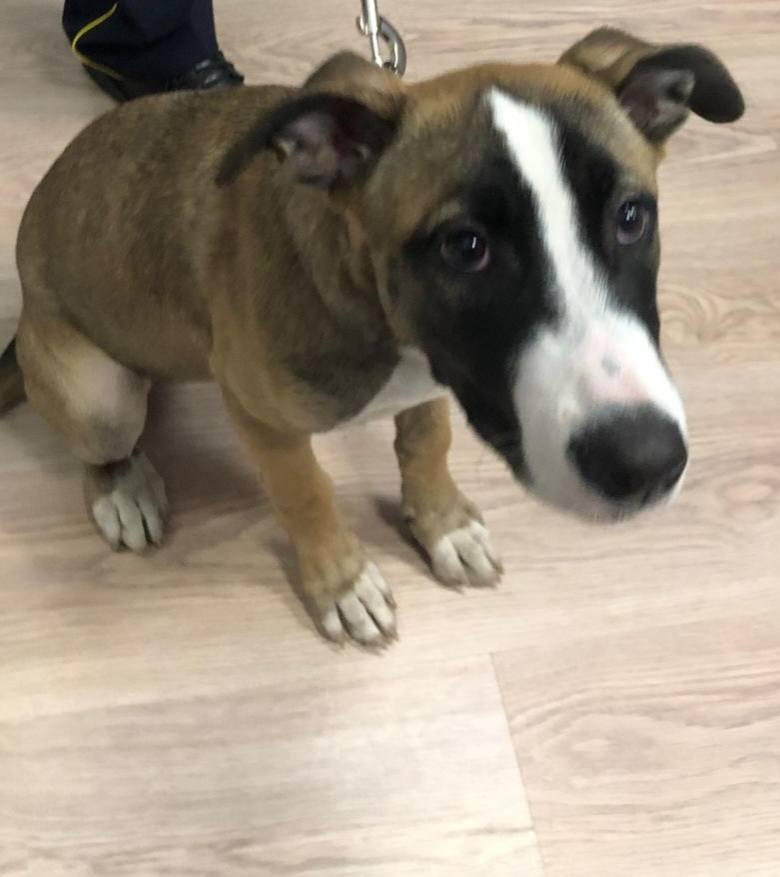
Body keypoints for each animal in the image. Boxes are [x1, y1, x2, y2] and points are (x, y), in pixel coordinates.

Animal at [0, 28, 744, 645]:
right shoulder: (261, 417)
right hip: (99, 396)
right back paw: (124, 489)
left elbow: (427, 444)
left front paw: (444, 525)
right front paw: (343, 582)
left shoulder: (436, 378)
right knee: (99, 446)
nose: (646, 466)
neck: (383, 316)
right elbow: (307, 494)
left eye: (631, 216)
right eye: (465, 246)